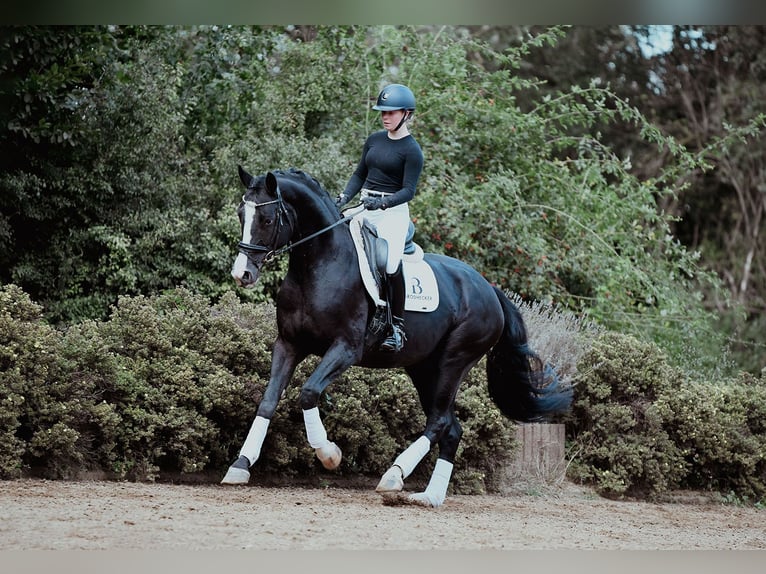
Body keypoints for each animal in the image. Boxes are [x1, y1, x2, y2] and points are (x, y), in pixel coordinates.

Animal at [221, 166, 573, 507]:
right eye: (241, 214)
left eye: (267, 219)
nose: (242, 274)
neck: (319, 264)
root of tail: (489, 289)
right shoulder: (289, 344)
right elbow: (268, 400)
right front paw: (240, 465)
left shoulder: (345, 349)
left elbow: (308, 393)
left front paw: (329, 454)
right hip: (423, 368)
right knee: (451, 428)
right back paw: (429, 497)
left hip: (454, 361)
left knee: (439, 422)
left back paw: (394, 475)